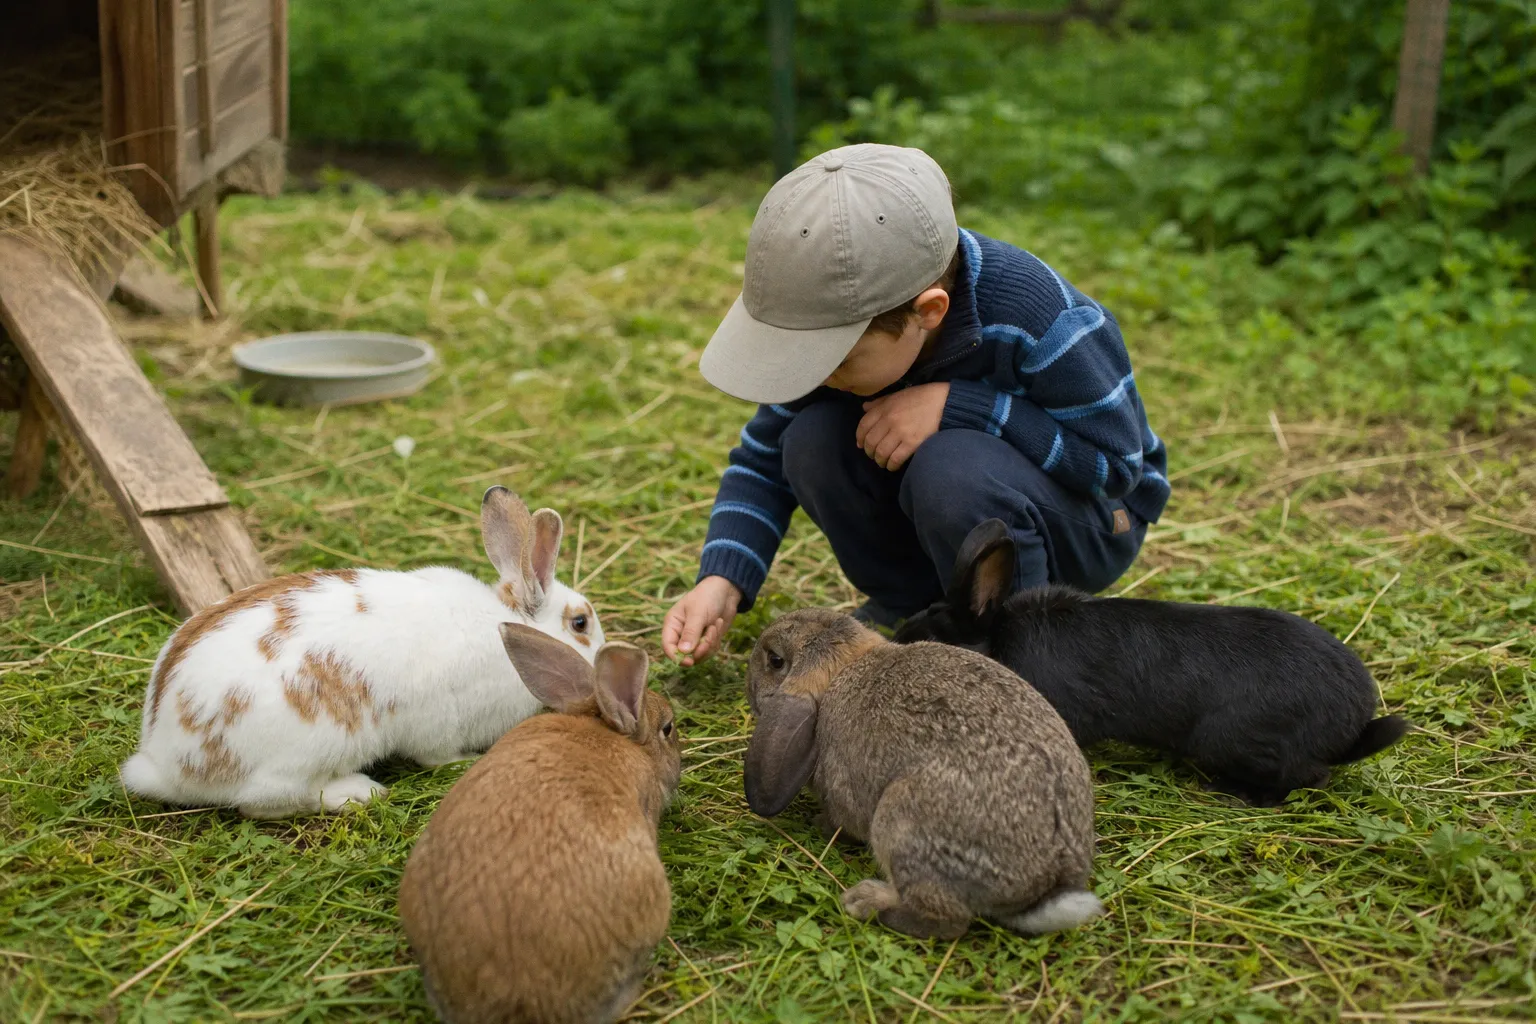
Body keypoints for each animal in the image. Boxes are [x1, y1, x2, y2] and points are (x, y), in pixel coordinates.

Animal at [119, 486, 605, 819]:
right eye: (580, 623)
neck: (509, 629)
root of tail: (166, 762)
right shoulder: (438, 720)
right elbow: (436, 755)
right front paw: (466, 763)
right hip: (309, 752)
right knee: (266, 803)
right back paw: (356, 792)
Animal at [744, 607, 1103, 940]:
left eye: (775, 660)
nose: (749, 685)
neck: (844, 670)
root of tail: (1045, 883)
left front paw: (822, 825)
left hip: (900, 823)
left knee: (946, 920)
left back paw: (867, 903)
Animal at [893, 518, 1412, 806]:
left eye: (929, 645)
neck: (997, 643)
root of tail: (1354, 719)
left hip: (1235, 740)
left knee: (1307, 777)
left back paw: (1235, 794)